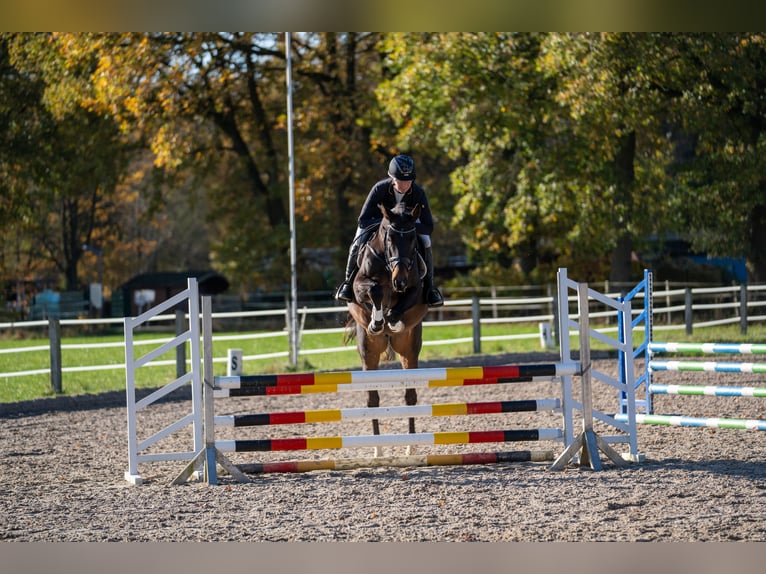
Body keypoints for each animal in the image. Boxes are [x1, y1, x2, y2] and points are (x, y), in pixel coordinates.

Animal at [348, 202, 432, 460]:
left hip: (409, 351)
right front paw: (377, 321)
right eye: (389, 237)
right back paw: (378, 450)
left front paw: (392, 321)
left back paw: (410, 447)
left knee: (410, 396)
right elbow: (373, 290)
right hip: (369, 353)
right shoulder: (359, 286)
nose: (400, 281)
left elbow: (400, 306)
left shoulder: (416, 289)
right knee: (372, 399)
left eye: (413, 241)